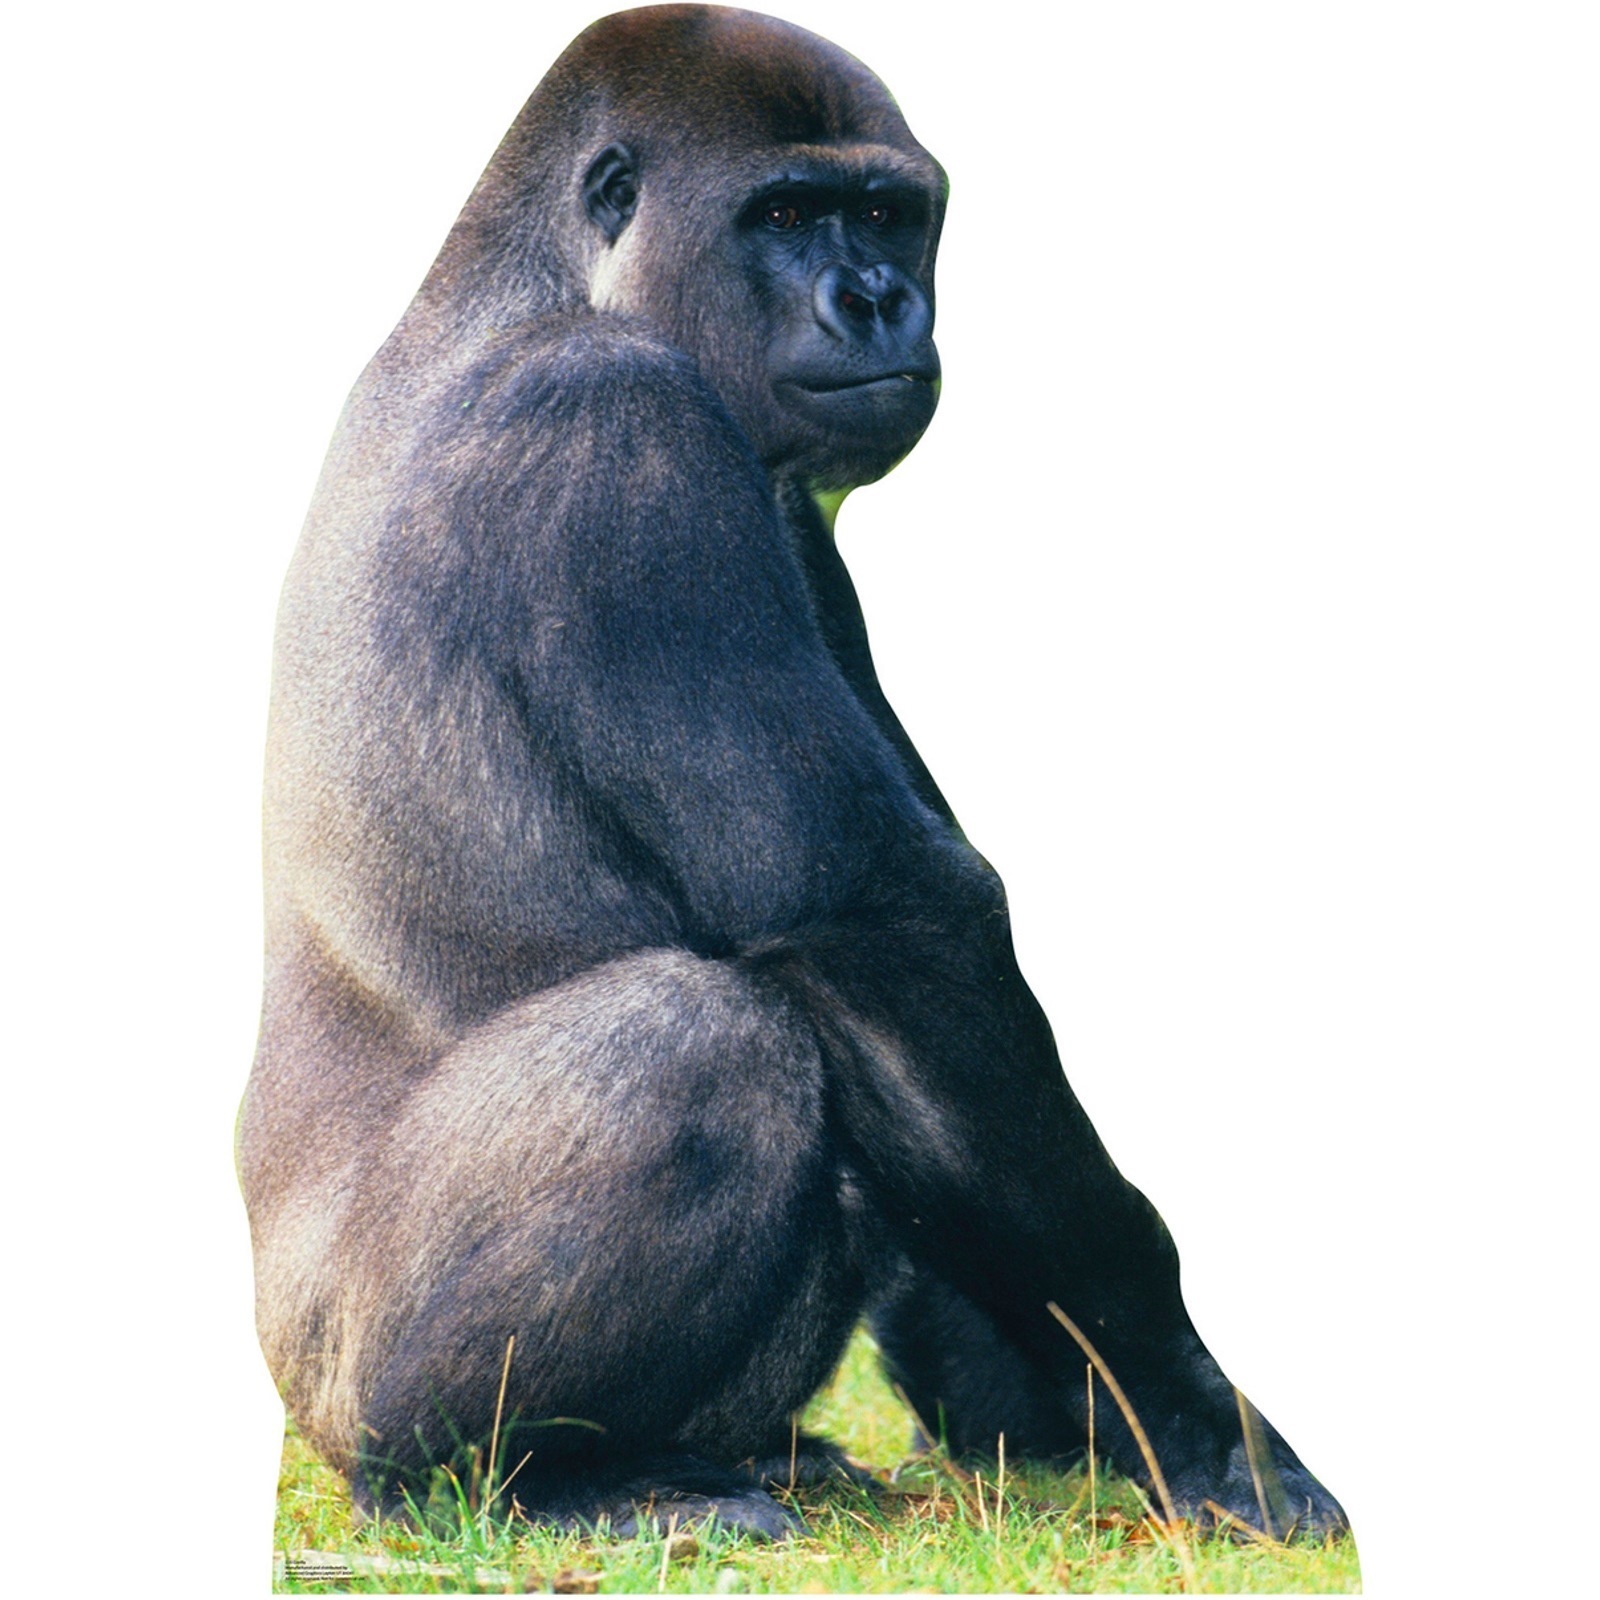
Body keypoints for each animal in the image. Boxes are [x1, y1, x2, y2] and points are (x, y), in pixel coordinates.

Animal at [239, 3, 1348, 1540]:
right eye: (783, 214)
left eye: (885, 214)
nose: (876, 300)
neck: (533, 287)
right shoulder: (619, 427)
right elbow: (880, 921)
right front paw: (1182, 1404)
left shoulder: (791, 506)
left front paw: (1040, 1397)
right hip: (343, 1385)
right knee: (703, 1043)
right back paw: (522, 1477)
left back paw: (742, 1451)